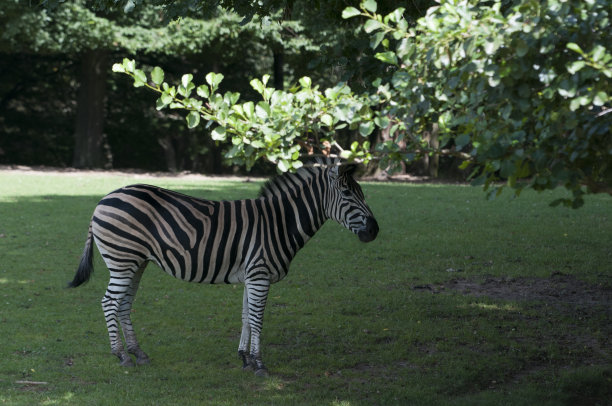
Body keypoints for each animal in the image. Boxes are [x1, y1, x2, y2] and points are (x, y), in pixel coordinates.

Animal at [69, 163, 380, 376]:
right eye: (347, 193)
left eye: (361, 192)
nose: (375, 231)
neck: (281, 222)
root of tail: (103, 200)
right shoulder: (260, 275)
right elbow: (257, 319)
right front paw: (259, 364)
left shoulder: (251, 276)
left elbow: (246, 317)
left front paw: (245, 358)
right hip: (122, 261)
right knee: (109, 302)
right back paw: (120, 355)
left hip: (136, 263)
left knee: (123, 305)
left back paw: (138, 353)